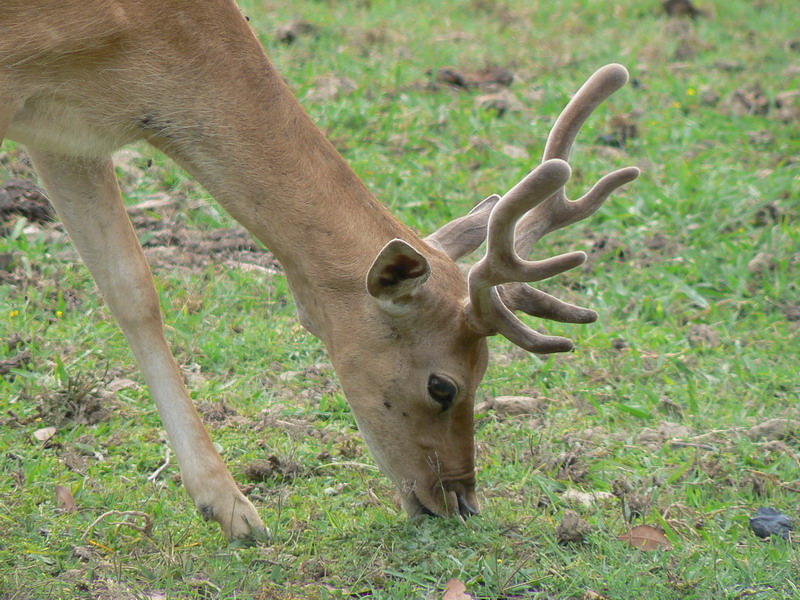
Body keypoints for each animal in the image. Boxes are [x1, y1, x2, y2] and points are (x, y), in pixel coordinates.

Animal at [0, 0, 639, 541]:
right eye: (443, 385)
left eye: (485, 370)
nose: (460, 501)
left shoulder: (68, 133)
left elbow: (132, 288)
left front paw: (232, 509)